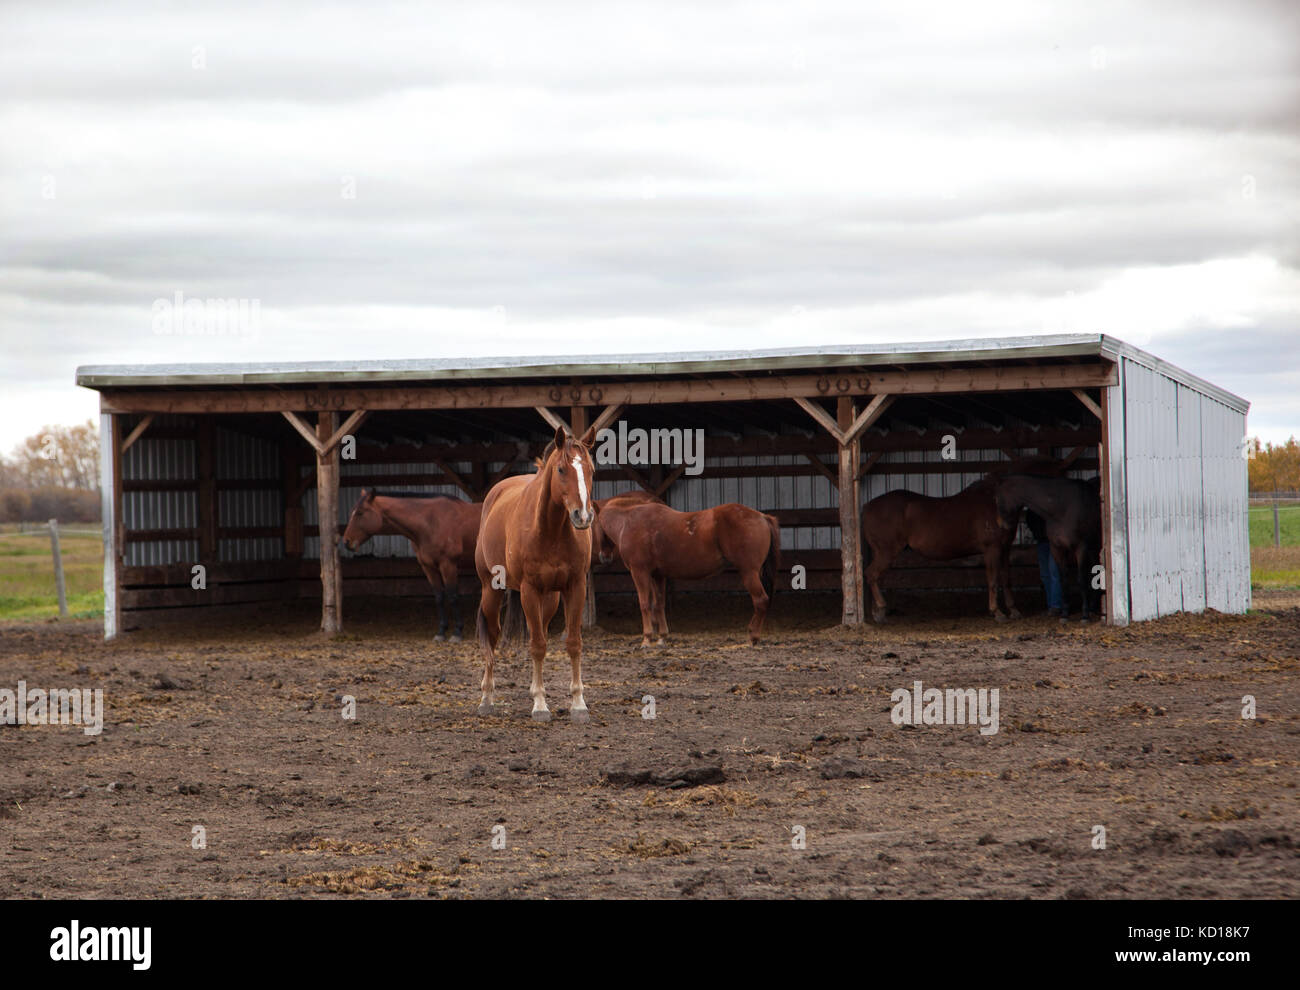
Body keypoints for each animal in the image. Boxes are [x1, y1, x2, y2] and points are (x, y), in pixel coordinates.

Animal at [341, 490, 483, 641]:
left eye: (360, 512)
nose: (346, 542)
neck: (432, 522)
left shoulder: (448, 565)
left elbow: (453, 596)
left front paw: (457, 632)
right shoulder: (428, 567)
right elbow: (439, 596)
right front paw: (441, 632)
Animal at [474, 425, 598, 722]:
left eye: (591, 469)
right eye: (561, 469)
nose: (583, 516)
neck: (550, 530)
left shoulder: (575, 587)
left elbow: (572, 642)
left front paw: (578, 704)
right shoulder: (529, 589)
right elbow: (538, 646)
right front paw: (540, 705)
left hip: (549, 598)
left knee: (537, 629)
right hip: (491, 590)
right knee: (493, 637)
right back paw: (486, 699)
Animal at [591, 498, 780, 646]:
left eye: (594, 524)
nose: (604, 557)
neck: (629, 521)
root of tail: (762, 517)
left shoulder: (640, 572)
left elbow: (644, 604)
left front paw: (647, 638)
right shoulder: (657, 575)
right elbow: (658, 604)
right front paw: (662, 637)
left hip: (749, 573)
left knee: (761, 601)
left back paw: (753, 636)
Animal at [861, 456, 1066, 623]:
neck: (994, 502)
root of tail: (867, 506)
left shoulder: (1005, 548)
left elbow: (1006, 578)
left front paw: (1014, 611)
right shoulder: (991, 549)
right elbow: (993, 580)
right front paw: (997, 612)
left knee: (874, 577)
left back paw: (877, 613)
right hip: (886, 552)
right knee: (871, 574)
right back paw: (881, 610)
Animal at [994, 474, 1102, 623]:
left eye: (998, 499)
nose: (1001, 524)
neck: (1061, 507)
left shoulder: (1081, 547)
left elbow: (1082, 579)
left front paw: (1085, 615)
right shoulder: (1057, 548)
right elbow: (1063, 580)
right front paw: (1064, 614)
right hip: (1093, 548)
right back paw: (1093, 607)